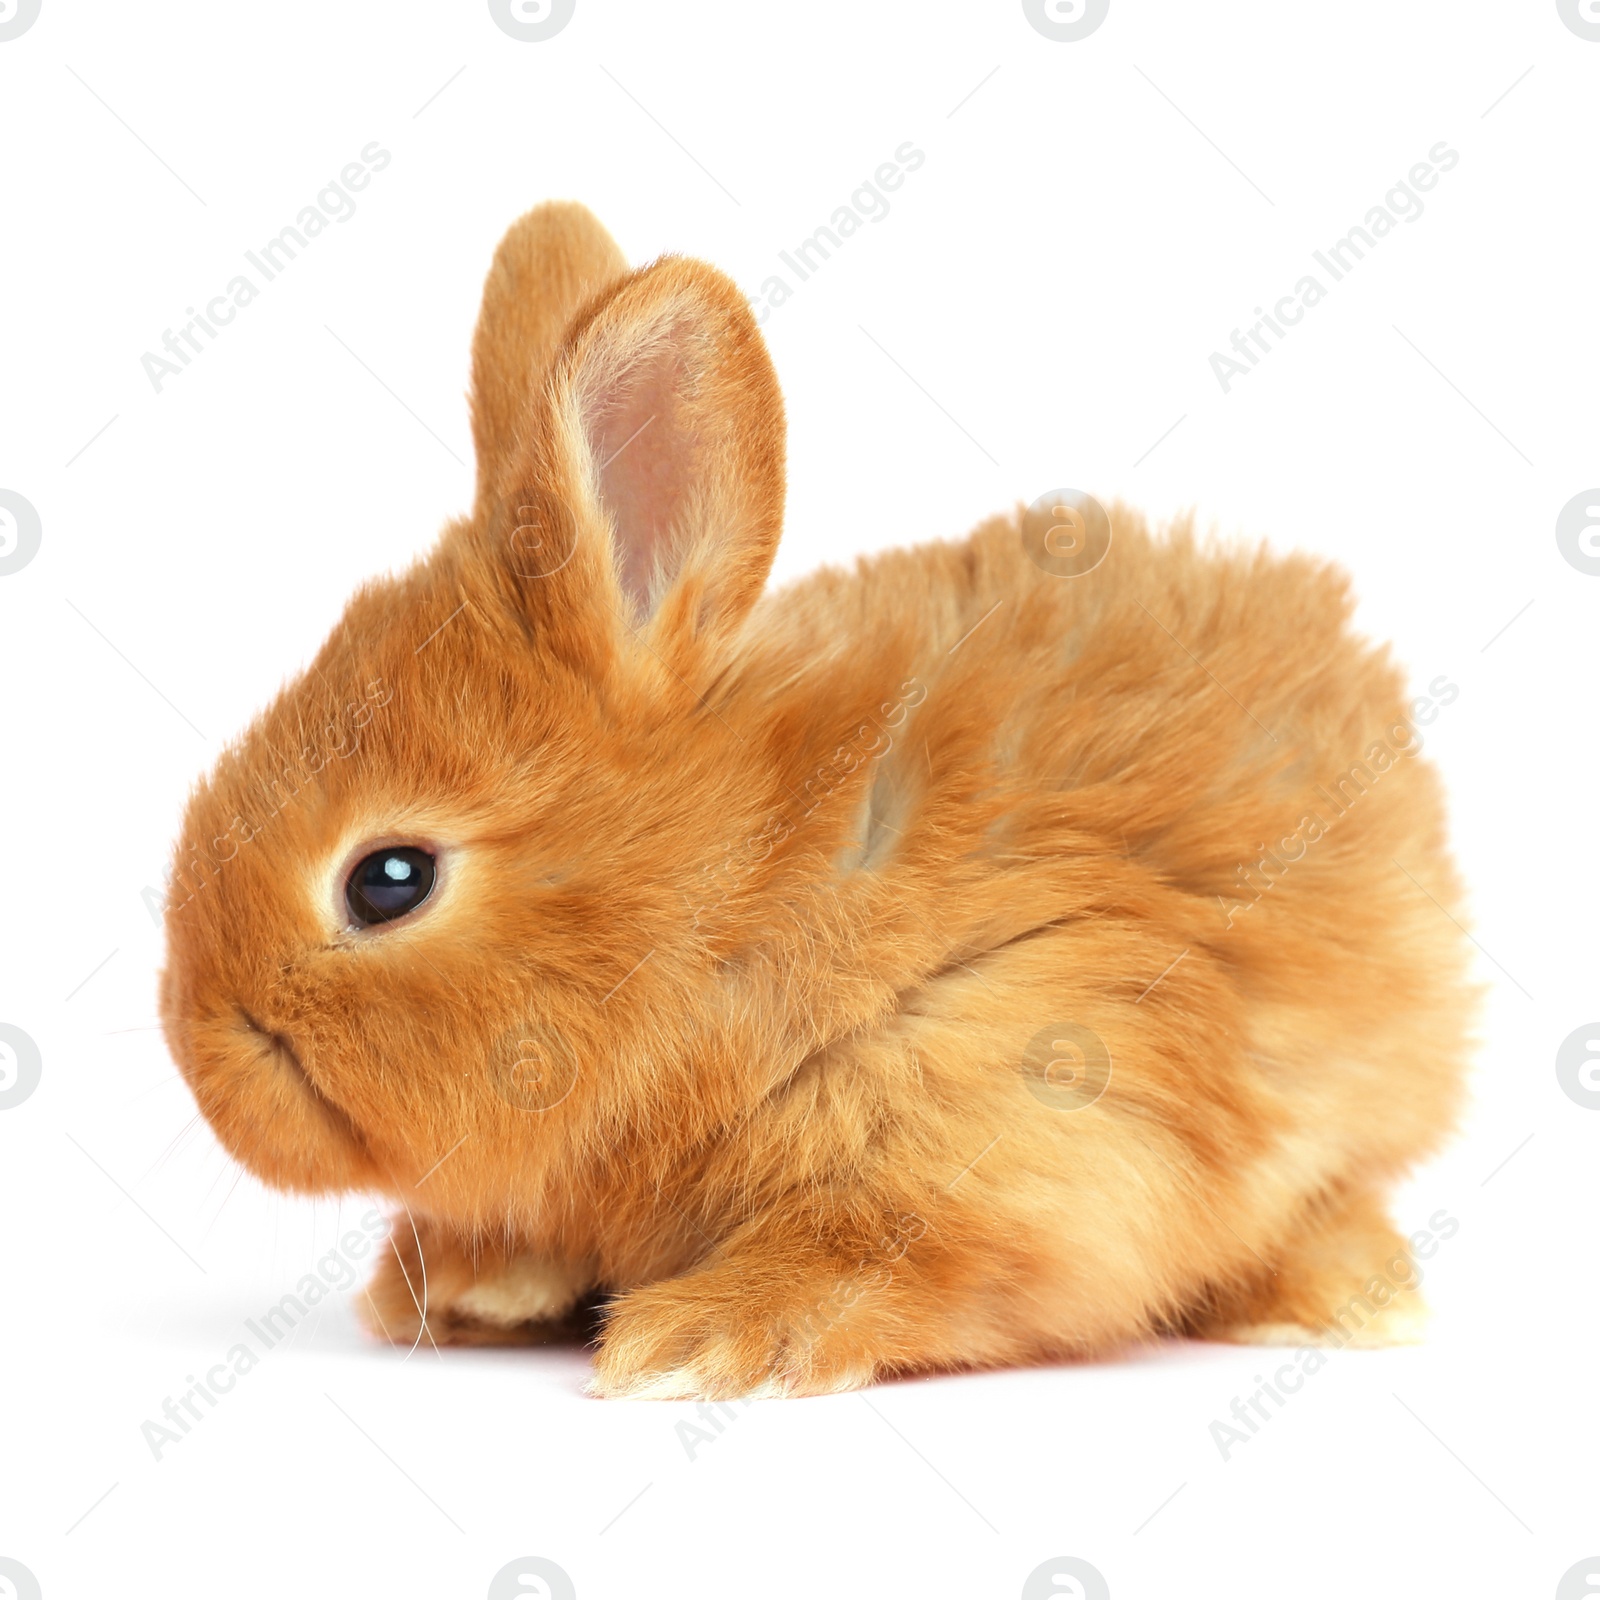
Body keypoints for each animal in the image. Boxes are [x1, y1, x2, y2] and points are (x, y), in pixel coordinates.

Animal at [162, 203, 1472, 1401]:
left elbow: (876, 1251)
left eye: (389, 880)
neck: (729, 909)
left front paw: (695, 1342)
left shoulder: (1028, 1095)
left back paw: (1343, 1304)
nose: (196, 1054)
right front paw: (463, 1284)